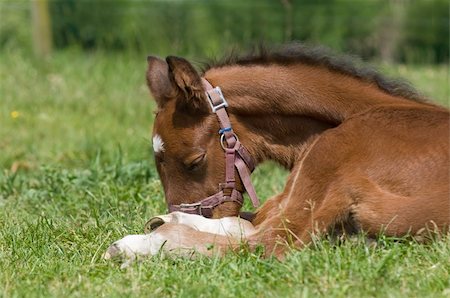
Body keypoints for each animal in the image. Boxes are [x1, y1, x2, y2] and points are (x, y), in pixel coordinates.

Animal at [104, 44, 450, 264]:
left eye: (194, 161)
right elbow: (244, 220)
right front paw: (166, 219)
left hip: (328, 154)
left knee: (268, 244)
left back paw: (137, 245)